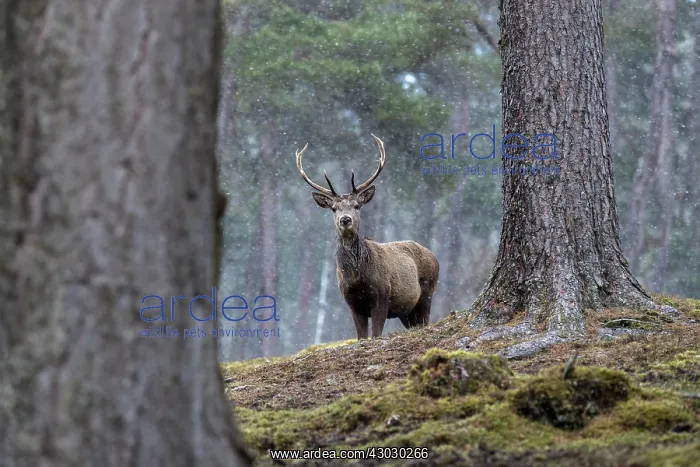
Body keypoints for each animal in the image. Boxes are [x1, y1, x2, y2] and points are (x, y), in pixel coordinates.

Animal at [295, 134, 439, 339]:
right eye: (334, 208)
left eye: (357, 206)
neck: (357, 276)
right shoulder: (351, 301)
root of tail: (434, 256)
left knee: (425, 320)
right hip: (406, 310)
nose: (345, 219)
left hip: (427, 291)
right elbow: (361, 336)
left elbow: (376, 333)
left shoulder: (382, 294)